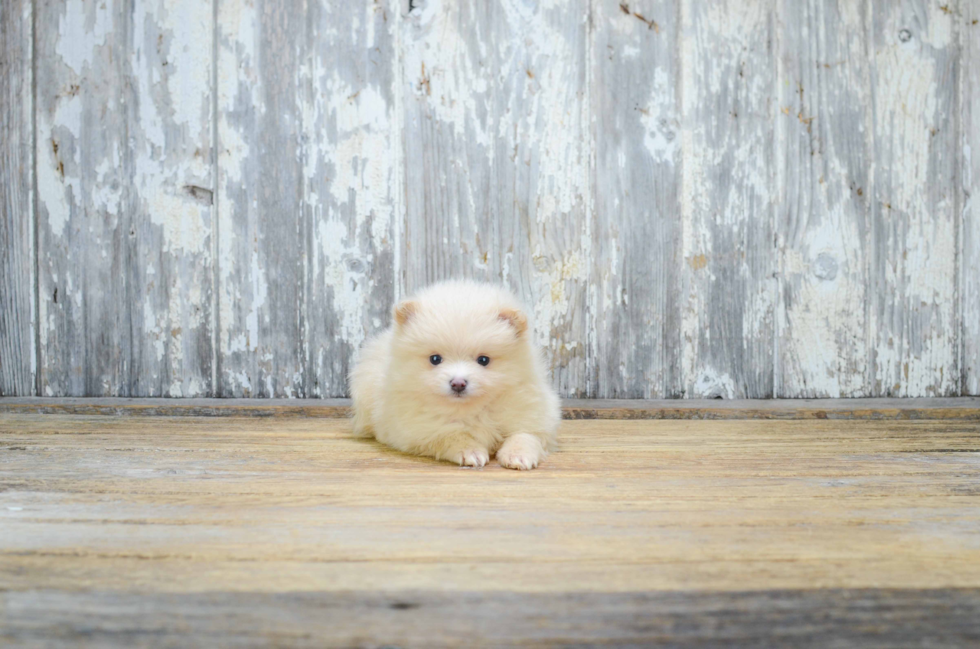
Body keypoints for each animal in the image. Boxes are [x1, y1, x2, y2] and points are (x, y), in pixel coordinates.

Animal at [348, 278, 560, 466]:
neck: (469, 409)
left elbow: (525, 434)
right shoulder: (418, 427)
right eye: (435, 359)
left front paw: (518, 455)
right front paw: (470, 451)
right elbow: (451, 434)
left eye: (483, 360)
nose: (458, 383)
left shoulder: (533, 411)